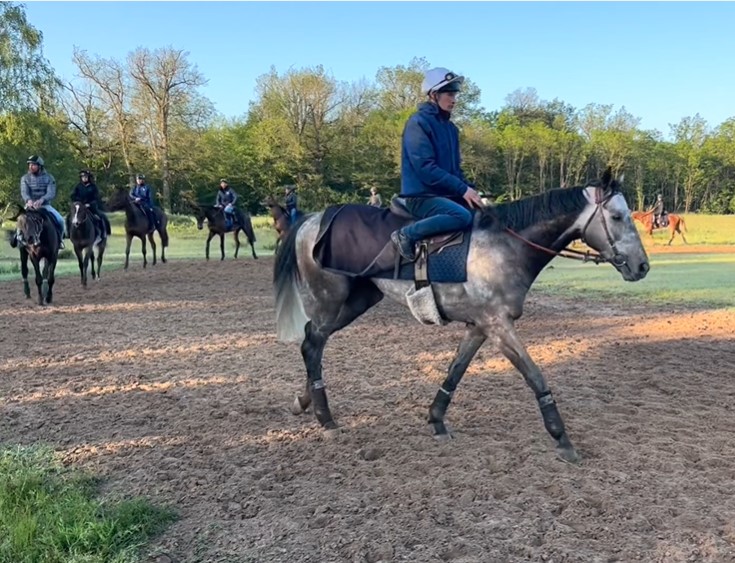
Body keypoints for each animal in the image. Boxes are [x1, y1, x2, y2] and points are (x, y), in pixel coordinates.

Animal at [272, 170, 648, 464]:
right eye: (617, 216)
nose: (642, 266)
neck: (504, 247)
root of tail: (312, 219)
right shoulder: (498, 325)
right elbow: (535, 375)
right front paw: (561, 437)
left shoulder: (479, 326)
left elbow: (455, 371)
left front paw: (436, 419)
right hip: (330, 300)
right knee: (312, 344)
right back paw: (324, 417)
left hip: (355, 302)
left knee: (313, 342)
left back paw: (305, 401)